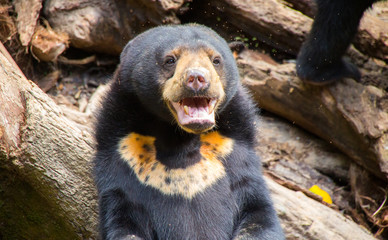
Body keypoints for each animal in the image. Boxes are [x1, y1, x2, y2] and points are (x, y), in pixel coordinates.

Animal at [92, 24, 284, 240]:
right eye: (170, 60)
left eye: (216, 60)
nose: (197, 78)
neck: (181, 140)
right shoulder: (123, 158)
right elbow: (122, 220)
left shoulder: (236, 152)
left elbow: (258, 214)